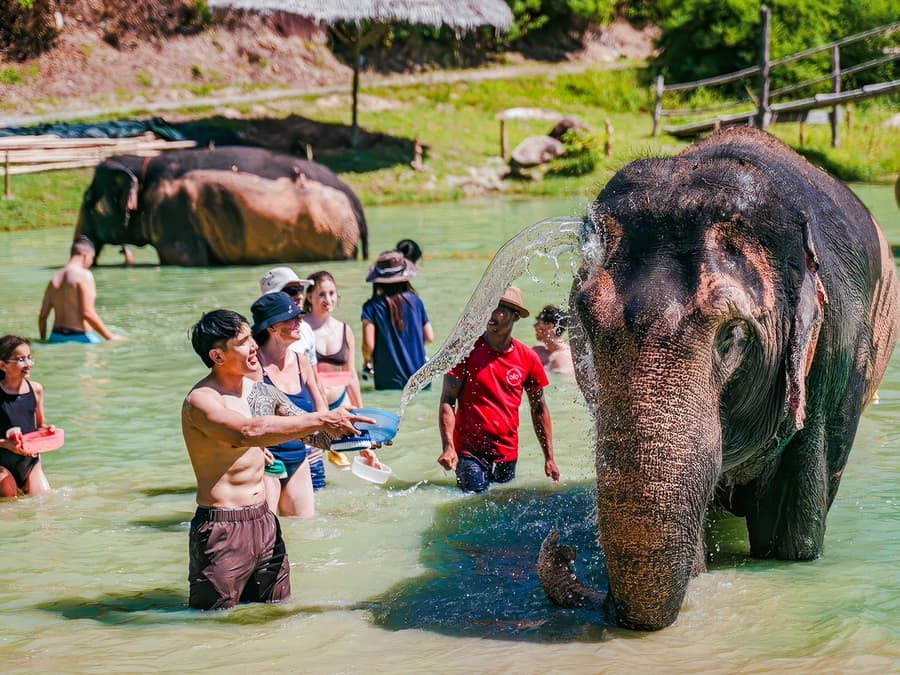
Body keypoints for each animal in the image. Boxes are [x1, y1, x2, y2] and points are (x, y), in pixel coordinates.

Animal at [75, 146, 368, 265]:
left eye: (88, 202)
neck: (142, 164)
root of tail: (356, 201)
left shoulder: (174, 217)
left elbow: (183, 259)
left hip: (335, 236)